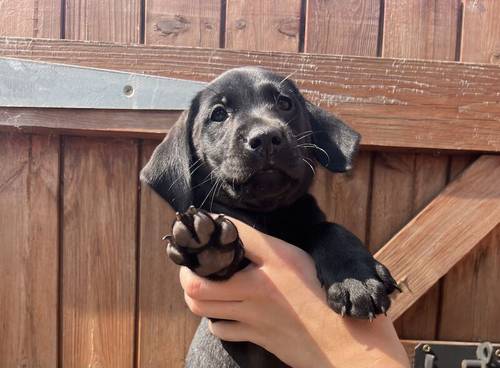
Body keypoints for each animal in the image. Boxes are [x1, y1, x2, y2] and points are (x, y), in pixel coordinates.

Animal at [141, 67, 398, 368]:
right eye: (218, 114)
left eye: (285, 103)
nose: (264, 137)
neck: (266, 216)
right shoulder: (224, 314)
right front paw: (209, 247)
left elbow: (330, 228)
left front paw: (356, 279)